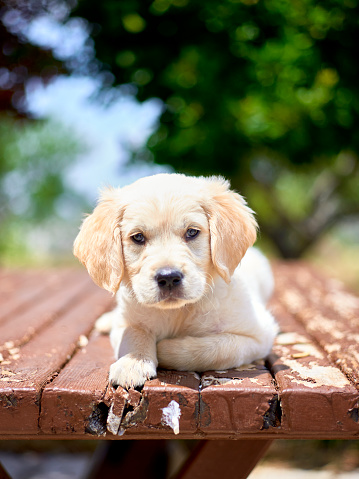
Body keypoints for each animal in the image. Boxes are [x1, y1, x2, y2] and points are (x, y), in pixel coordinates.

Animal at [74, 173, 278, 390]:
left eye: (192, 232)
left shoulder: (258, 335)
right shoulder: (128, 317)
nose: (169, 277)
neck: (178, 311)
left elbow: (215, 348)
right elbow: (133, 332)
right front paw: (132, 363)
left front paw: (165, 348)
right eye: (138, 237)